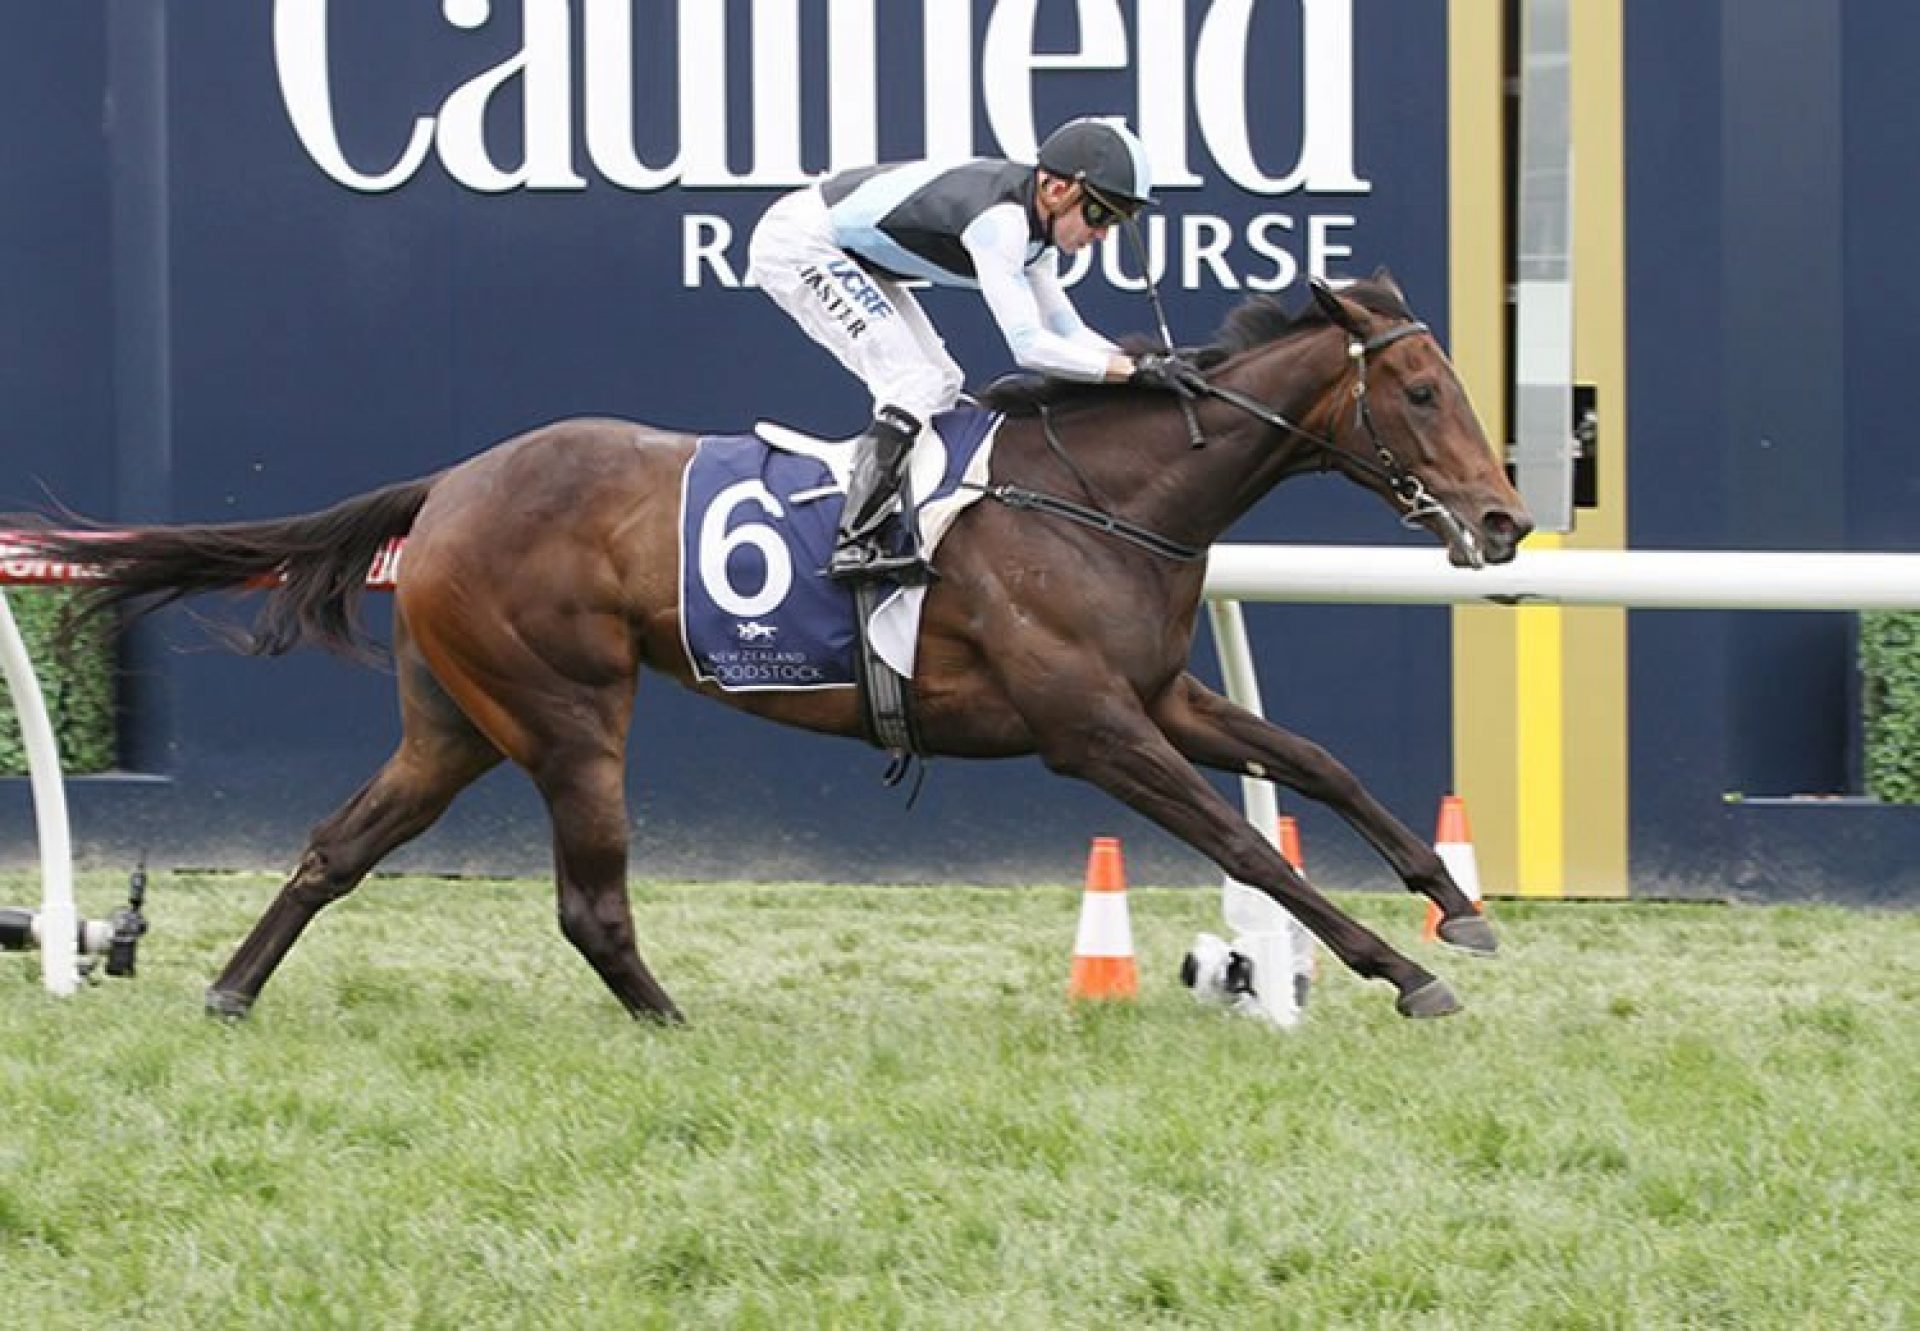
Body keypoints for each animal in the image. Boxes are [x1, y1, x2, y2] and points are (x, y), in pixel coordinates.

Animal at [26, 266, 1528, 1014]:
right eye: (1418, 389)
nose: (1505, 518)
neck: (1105, 495)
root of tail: (448, 483)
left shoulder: (1159, 691)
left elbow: (1318, 763)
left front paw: (1456, 906)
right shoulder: (1089, 728)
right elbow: (1244, 848)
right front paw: (1403, 974)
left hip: (453, 722)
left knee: (337, 846)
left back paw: (231, 991)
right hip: (568, 709)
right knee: (588, 900)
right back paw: (674, 1022)